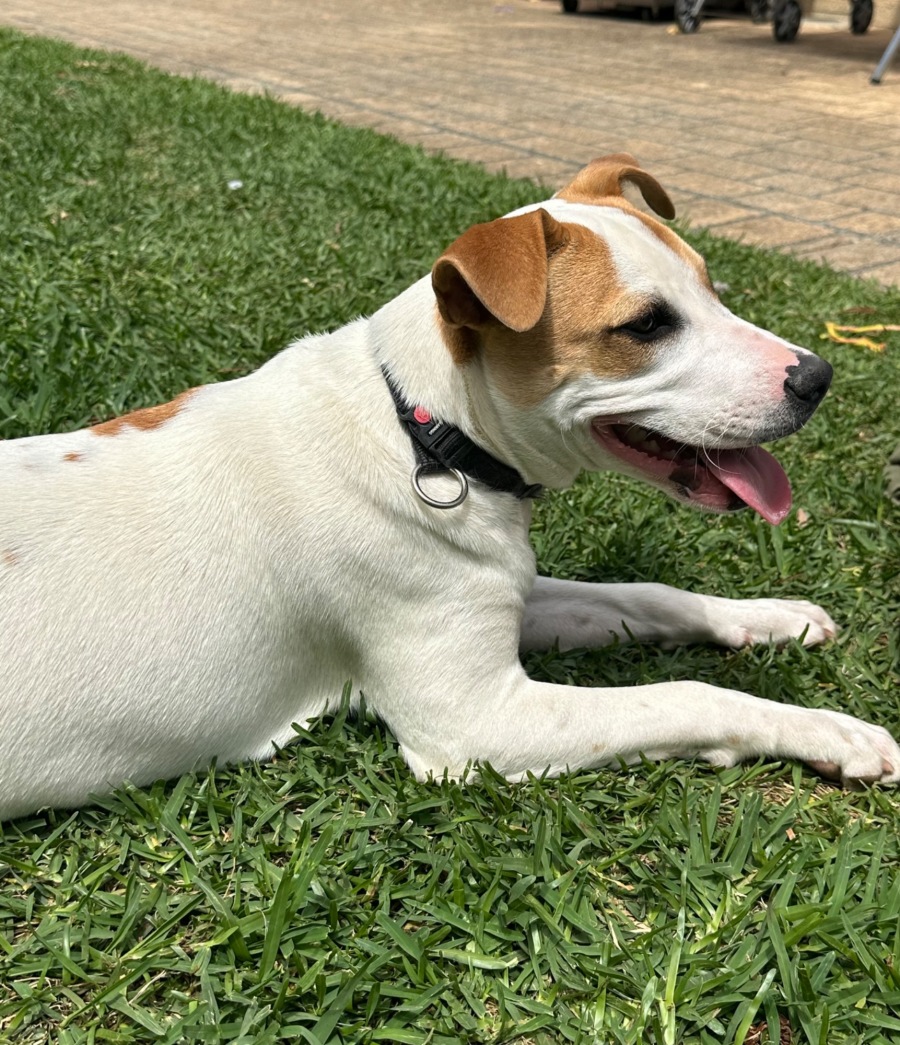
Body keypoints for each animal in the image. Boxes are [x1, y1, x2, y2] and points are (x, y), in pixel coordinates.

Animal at [2, 154, 898, 821]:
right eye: (645, 325)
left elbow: (649, 594)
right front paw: (836, 732)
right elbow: (688, 693)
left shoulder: (504, 597)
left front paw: (774, 616)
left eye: (711, 286)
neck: (426, 430)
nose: (816, 377)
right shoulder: (479, 721)